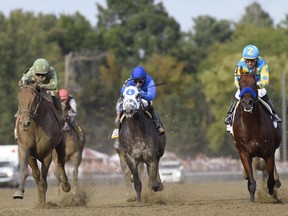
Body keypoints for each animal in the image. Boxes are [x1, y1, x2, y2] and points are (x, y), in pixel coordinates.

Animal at [232, 69, 282, 202]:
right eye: (240, 84)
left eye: (254, 83)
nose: (247, 102)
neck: (251, 127)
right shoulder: (244, 153)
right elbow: (251, 181)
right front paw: (252, 200)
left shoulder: (269, 152)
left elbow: (270, 180)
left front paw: (272, 196)